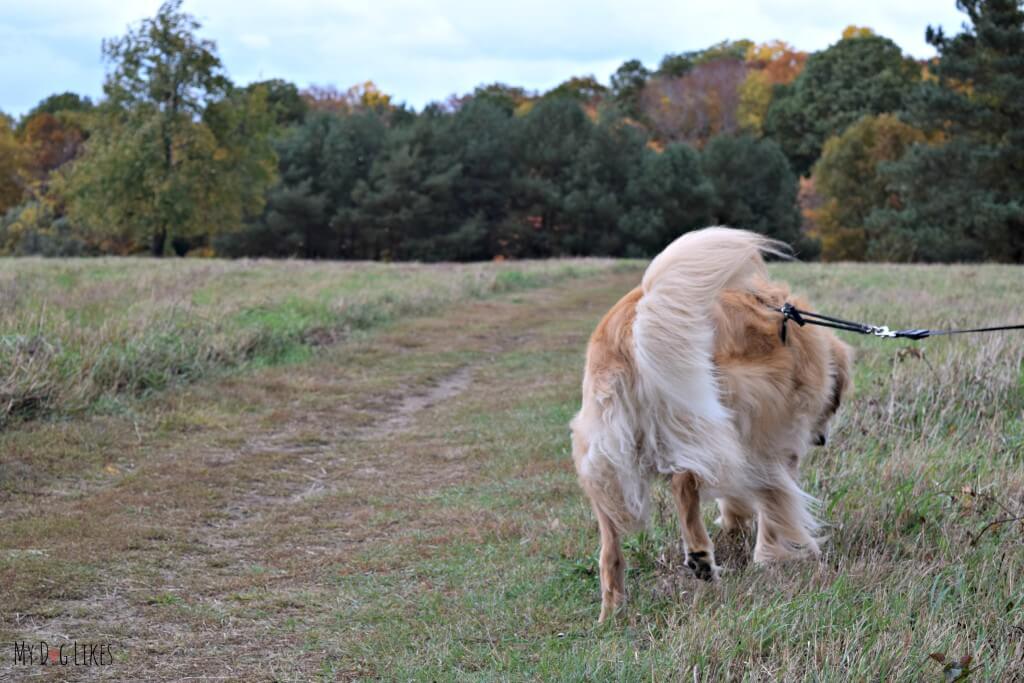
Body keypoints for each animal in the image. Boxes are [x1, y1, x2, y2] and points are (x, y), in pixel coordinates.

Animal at [573, 227, 851, 622]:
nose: (822, 440)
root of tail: (635, 321)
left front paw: (738, 526)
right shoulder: (773, 440)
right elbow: (774, 500)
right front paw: (772, 554)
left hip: (602, 454)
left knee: (610, 540)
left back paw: (613, 607)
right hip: (719, 414)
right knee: (684, 480)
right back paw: (700, 556)